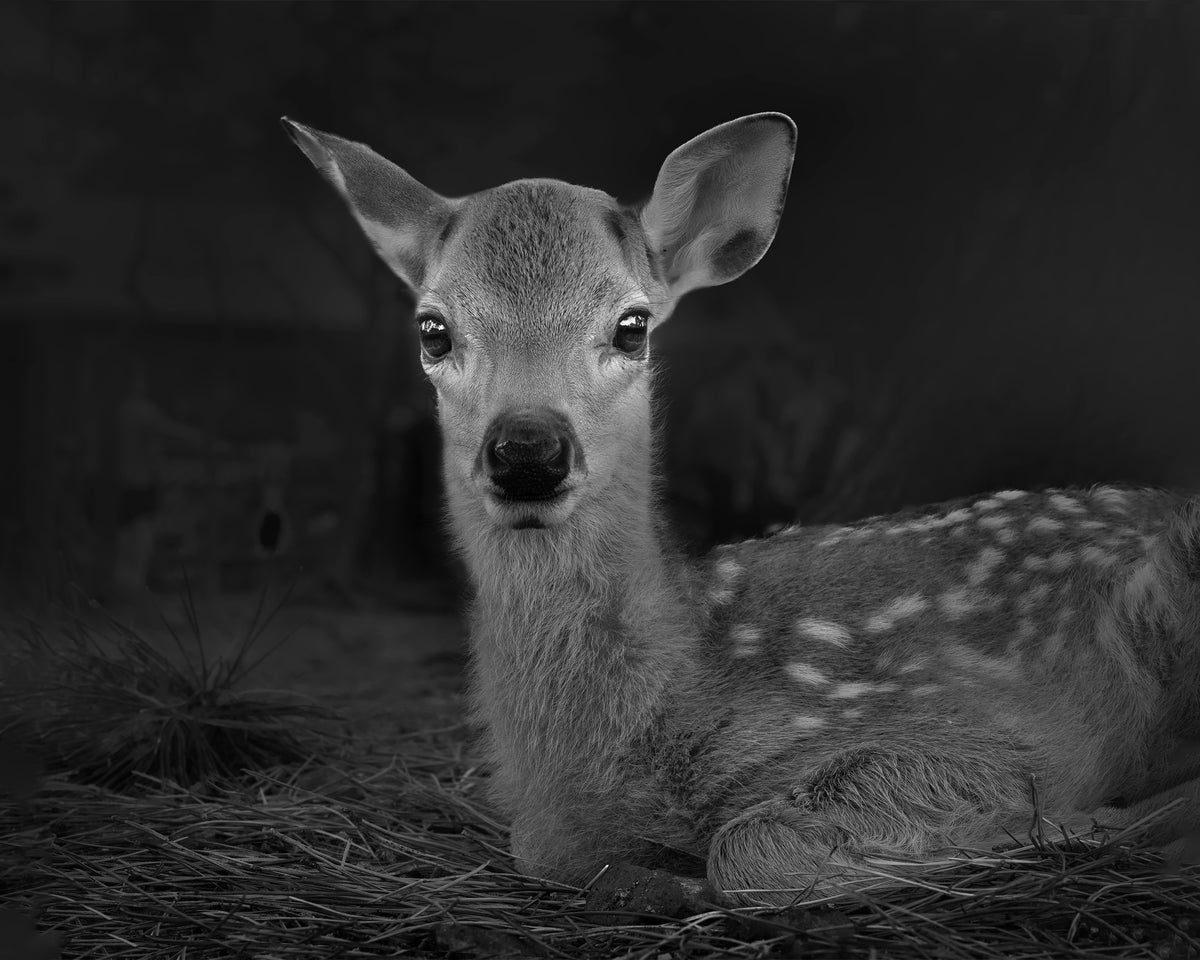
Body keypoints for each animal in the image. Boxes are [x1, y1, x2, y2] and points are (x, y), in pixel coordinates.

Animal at [283, 112, 1200, 907]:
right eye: (433, 330)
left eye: (632, 325)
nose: (528, 452)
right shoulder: (546, 822)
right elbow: (540, 848)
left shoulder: (969, 732)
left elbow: (747, 853)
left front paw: (1056, 827)